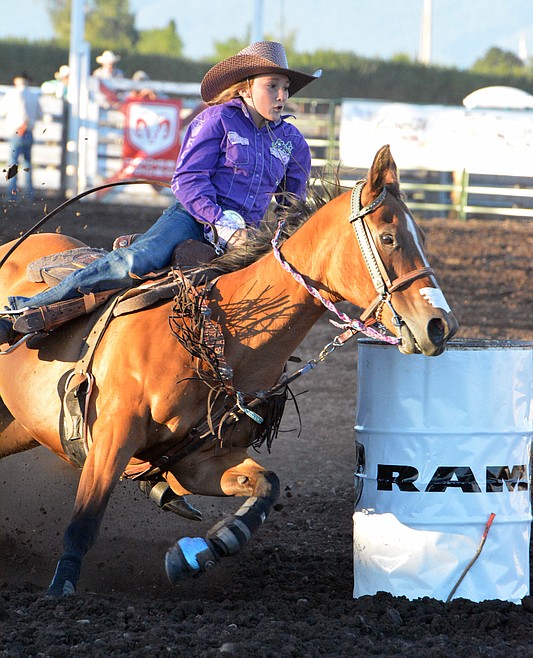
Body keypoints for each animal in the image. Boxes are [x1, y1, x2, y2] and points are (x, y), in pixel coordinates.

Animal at [0, 145, 458, 596]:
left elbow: (267, 484)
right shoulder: (114, 432)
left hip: (22, 426)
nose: (441, 326)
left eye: (422, 238)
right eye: (388, 237)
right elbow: (85, 517)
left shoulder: (200, 459)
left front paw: (203, 550)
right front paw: (60, 589)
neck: (217, 334)